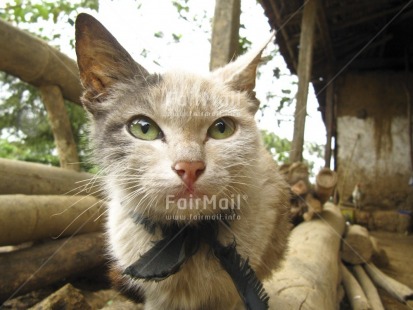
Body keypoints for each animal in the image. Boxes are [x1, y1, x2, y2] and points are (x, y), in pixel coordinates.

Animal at [76, 12, 290, 310]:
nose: (189, 166)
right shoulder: (156, 298)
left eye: (222, 128)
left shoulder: (232, 295)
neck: (186, 236)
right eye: (143, 128)